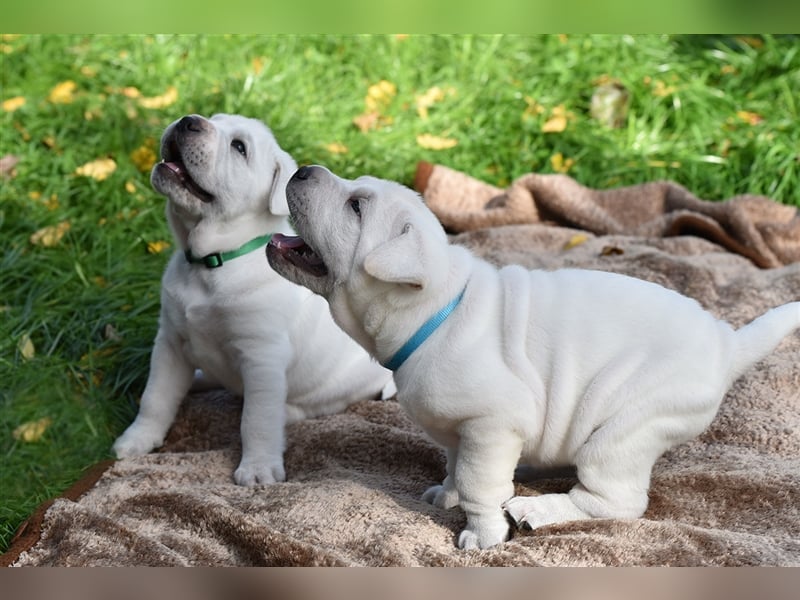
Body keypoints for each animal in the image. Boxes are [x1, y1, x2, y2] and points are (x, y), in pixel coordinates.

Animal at [114, 118, 396, 488]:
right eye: (211, 118)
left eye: (239, 147)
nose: (189, 120)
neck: (213, 263)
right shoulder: (171, 342)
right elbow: (156, 397)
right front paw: (137, 440)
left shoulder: (262, 357)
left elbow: (257, 418)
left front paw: (258, 468)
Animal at [268, 164, 800, 548]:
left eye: (356, 206)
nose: (304, 169)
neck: (436, 308)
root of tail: (726, 342)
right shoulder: (464, 430)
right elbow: (456, 464)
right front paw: (447, 493)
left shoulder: (491, 425)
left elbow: (480, 485)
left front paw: (481, 536)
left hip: (628, 426)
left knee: (616, 501)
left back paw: (537, 510)